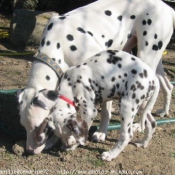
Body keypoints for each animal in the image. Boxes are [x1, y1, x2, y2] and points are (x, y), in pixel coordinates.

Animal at [18, 0, 175, 154]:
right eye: (24, 126)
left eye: (40, 127)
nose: (29, 150)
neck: (58, 42)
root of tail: (169, 8)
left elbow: (105, 110)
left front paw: (101, 133)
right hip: (154, 64)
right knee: (167, 86)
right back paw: (163, 112)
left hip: (146, 56)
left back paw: (137, 125)